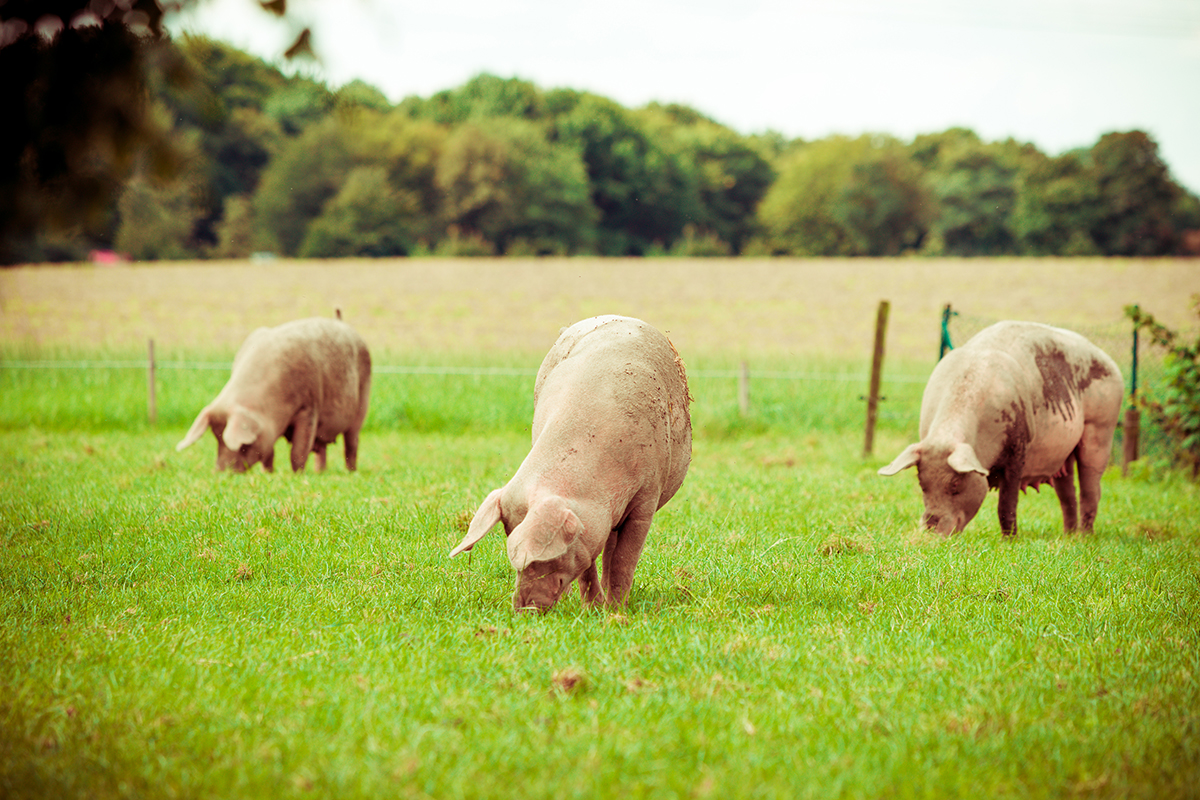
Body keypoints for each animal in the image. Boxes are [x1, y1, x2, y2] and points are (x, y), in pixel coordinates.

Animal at [176, 316, 371, 473]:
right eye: (216, 439)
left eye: (244, 446)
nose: (221, 472)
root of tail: (340, 319)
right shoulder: (268, 427)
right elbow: (269, 451)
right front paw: (268, 473)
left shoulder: (308, 407)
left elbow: (298, 450)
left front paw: (297, 475)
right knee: (322, 449)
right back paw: (320, 472)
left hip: (362, 400)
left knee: (351, 444)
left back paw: (351, 472)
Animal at [449, 315, 692, 612]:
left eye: (544, 557)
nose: (524, 609)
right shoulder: (589, 524)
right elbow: (588, 564)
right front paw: (593, 609)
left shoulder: (646, 495)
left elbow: (624, 560)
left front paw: (615, 612)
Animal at [878, 321, 1123, 536]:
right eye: (922, 483)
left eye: (956, 483)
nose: (930, 529)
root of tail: (1112, 362)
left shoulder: (1019, 446)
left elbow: (1006, 503)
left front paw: (1010, 540)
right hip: (1065, 453)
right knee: (1067, 493)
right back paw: (1068, 536)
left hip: (1102, 428)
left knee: (1091, 490)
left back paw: (1085, 537)